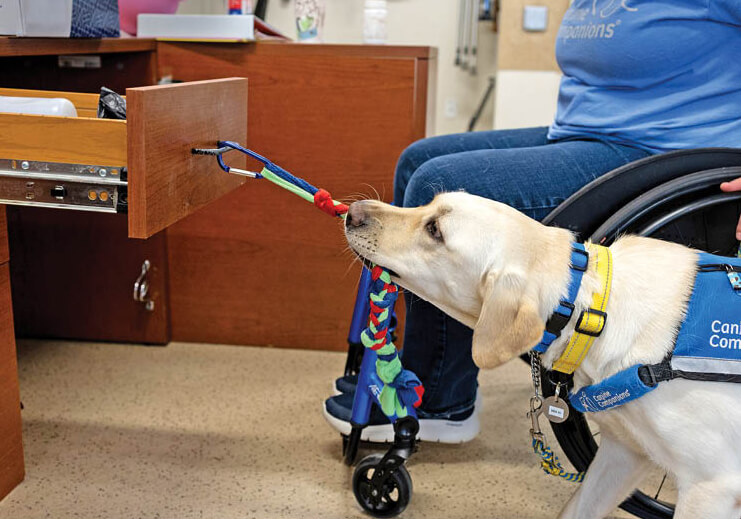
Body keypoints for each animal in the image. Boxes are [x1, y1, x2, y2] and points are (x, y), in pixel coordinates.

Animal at [344, 191, 740, 519]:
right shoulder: (624, 452)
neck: (592, 312)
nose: (353, 211)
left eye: (435, 230)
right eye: (429, 205)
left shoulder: (711, 487)